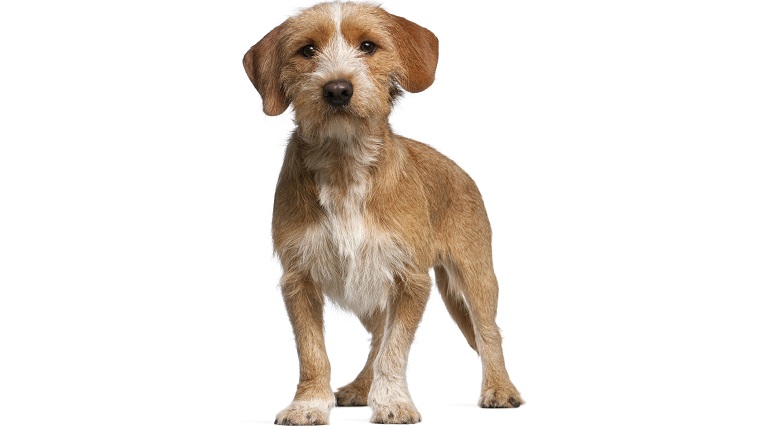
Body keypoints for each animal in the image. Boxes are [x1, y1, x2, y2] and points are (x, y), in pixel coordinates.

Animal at [243, 0, 524, 424]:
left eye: (368, 46)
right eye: (307, 50)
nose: (338, 89)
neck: (344, 165)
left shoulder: (410, 280)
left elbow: (395, 349)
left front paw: (393, 402)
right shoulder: (299, 278)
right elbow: (313, 353)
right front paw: (309, 404)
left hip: (476, 276)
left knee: (488, 333)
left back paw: (500, 388)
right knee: (376, 334)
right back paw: (361, 388)